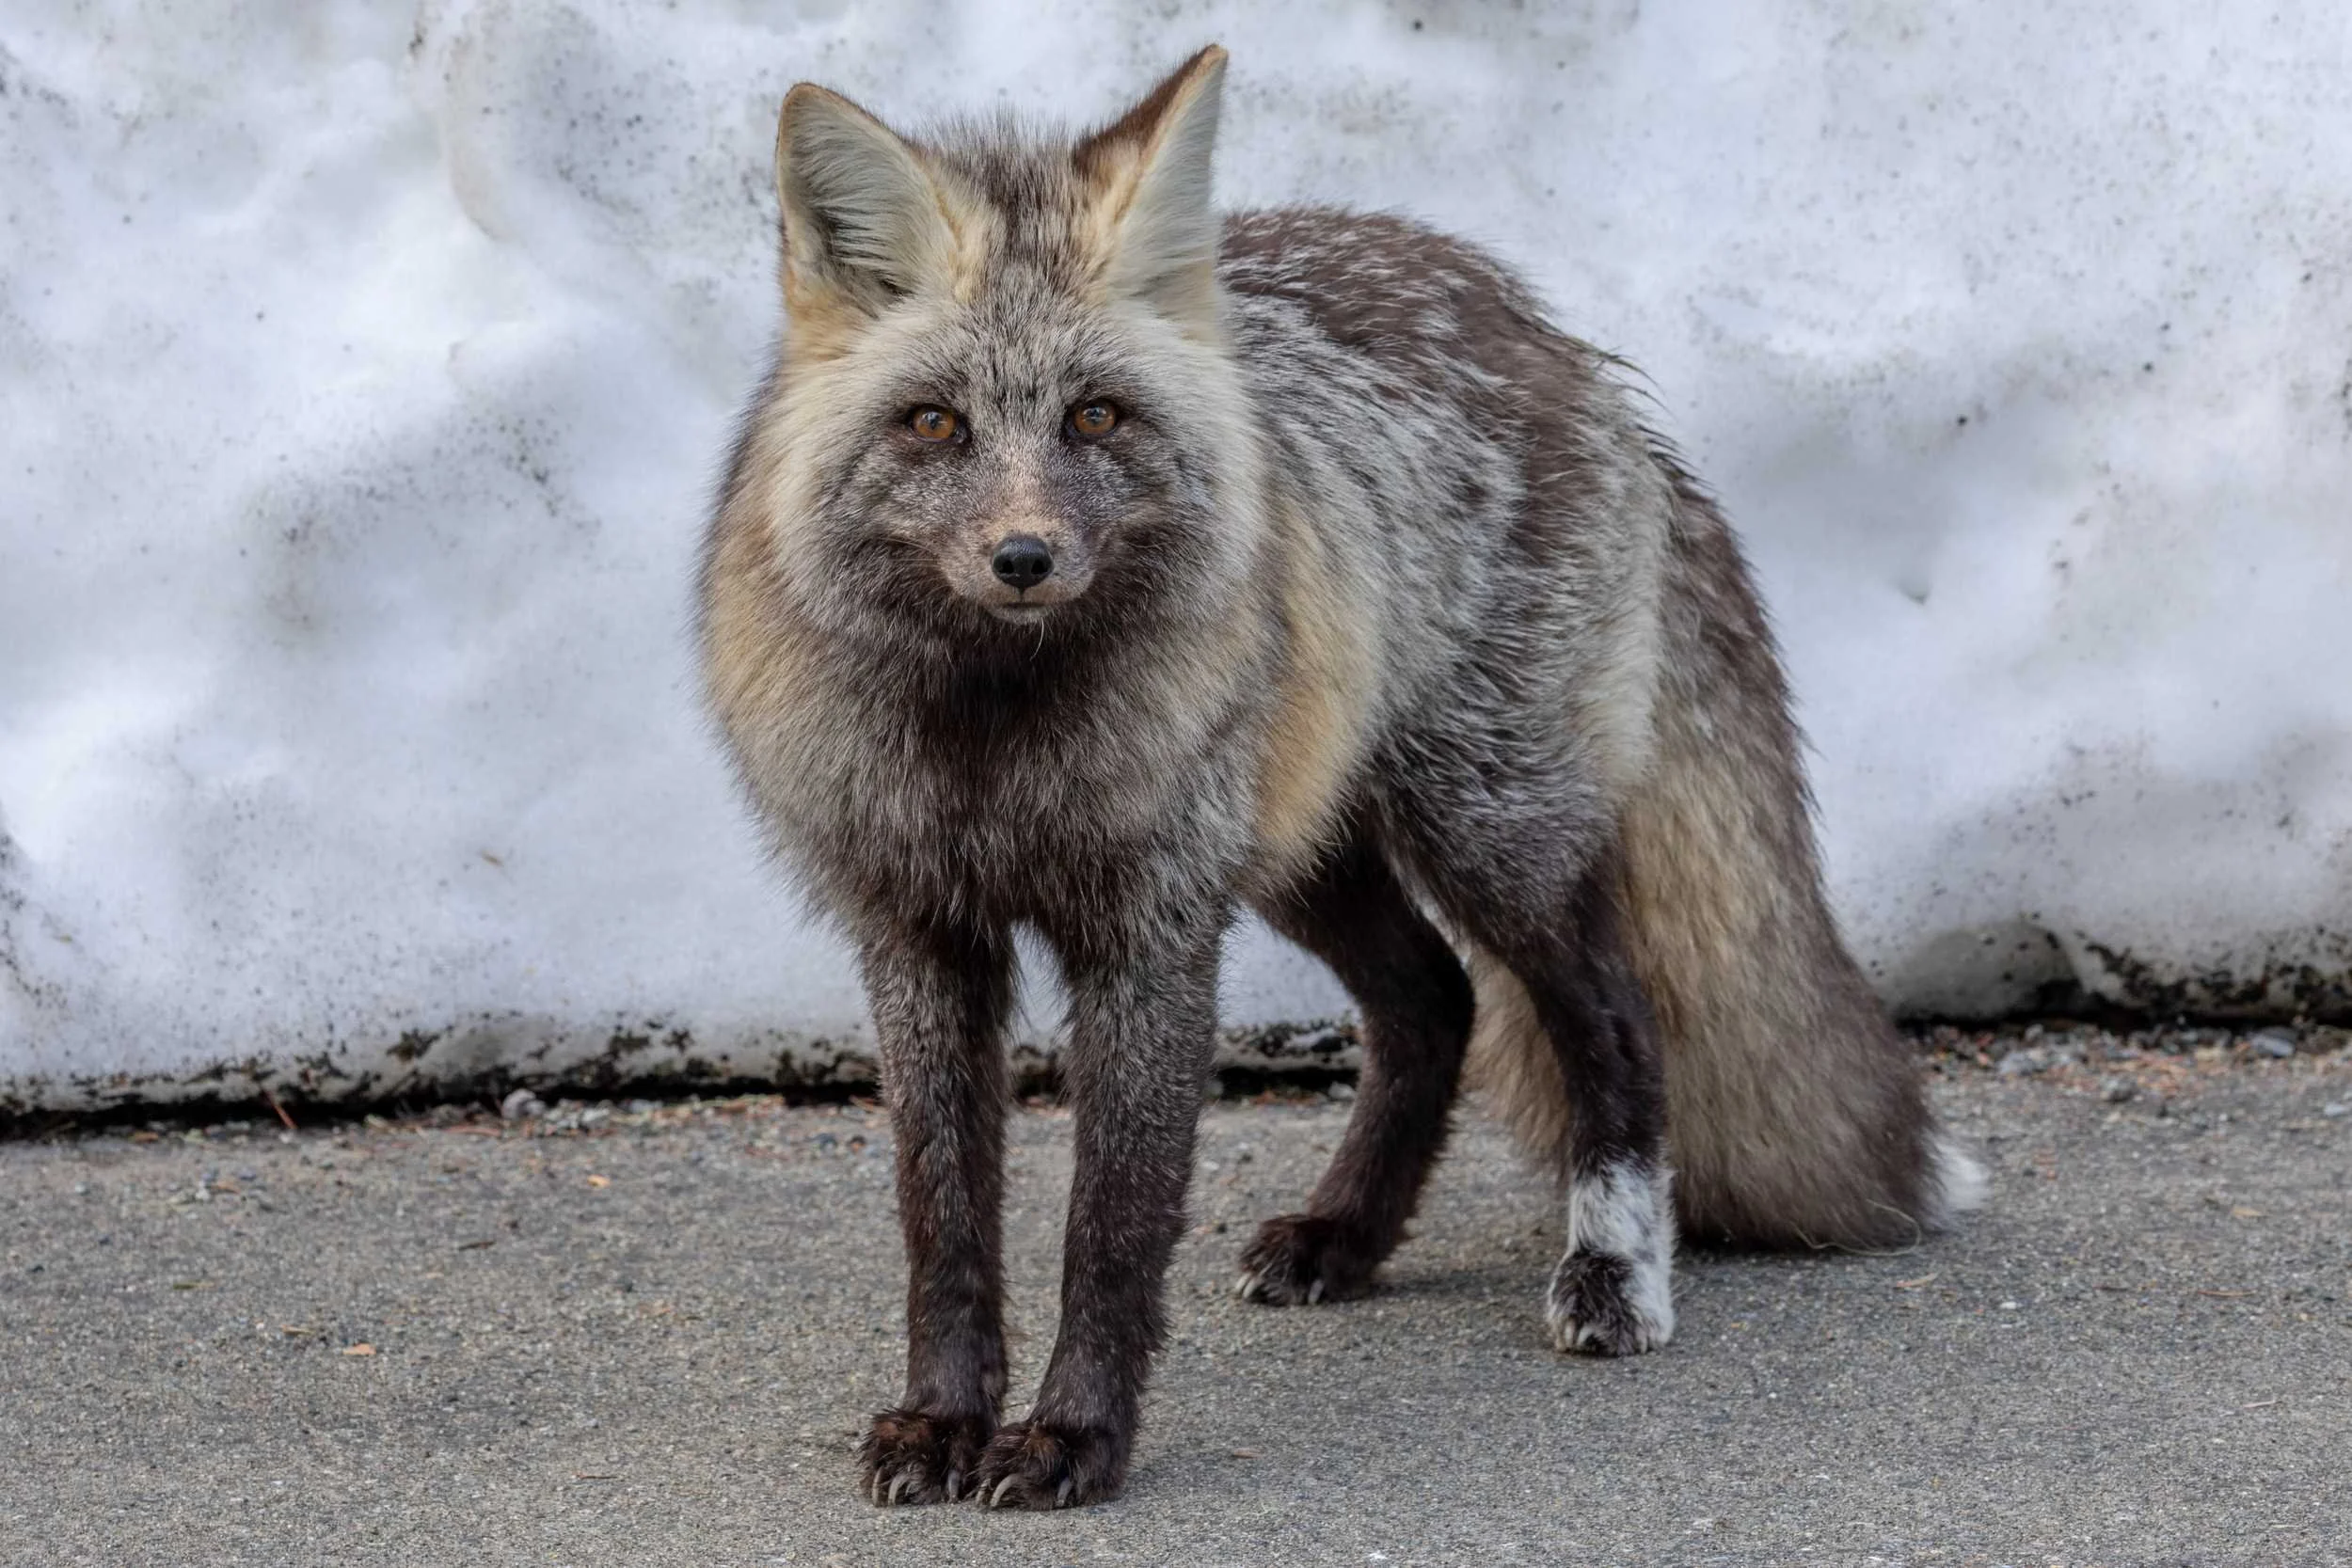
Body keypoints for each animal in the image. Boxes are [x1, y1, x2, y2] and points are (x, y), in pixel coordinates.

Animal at [699, 45, 1985, 1510]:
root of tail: (1550, 333)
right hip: (1307, 850)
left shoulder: (1150, 931)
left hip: (1488, 831)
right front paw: (941, 1418)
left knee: (1613, 1020)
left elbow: (1110, 1226)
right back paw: (1347, 1236)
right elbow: (945, 1218)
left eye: (1094, 415)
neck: (995, 744)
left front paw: (1076, 1435)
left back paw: (1611, 1267)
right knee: (1432, 1002)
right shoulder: (915, 931)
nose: (1023, 557)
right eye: (933, 423)